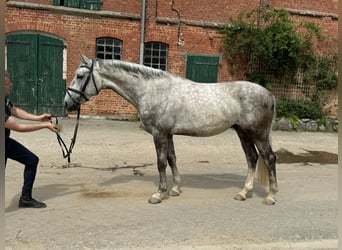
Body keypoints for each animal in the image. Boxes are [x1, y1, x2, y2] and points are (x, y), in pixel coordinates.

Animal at [64, 54, 278, 205]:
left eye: (80, 76)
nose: (67, 103)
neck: (151, 90)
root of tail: (268, 94)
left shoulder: (159, 134)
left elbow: (161, 163)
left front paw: (159, 194)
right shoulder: (169, 134)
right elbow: (172, 159)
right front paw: (175, 189)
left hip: (258, 134)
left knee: (269, 158)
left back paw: (271, 196)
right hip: (243, 133)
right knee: (252, 158)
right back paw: (243, 193)